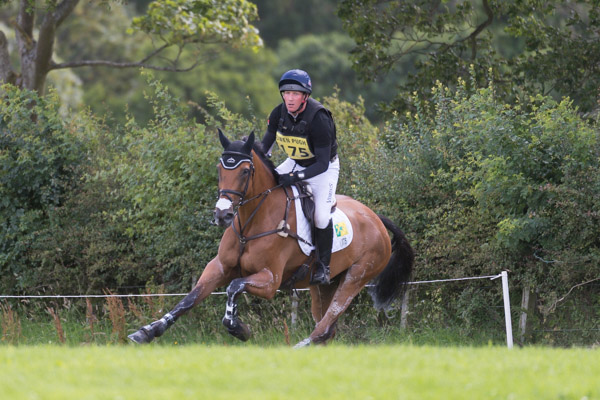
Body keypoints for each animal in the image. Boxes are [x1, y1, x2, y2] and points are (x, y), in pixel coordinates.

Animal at [128, 130, 414, 347]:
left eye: (245, 172)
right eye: (220, 169)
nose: (222, 215)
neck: (250, 224)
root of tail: (377, 219)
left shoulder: (270, 280)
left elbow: (233, 288)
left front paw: (239, 328)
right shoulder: (219, 267)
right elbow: (189, 299)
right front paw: (147, 332)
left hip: (357, 277)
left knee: (325, 325)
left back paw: (296, 348)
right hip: (324, 284)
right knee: (327, 327)